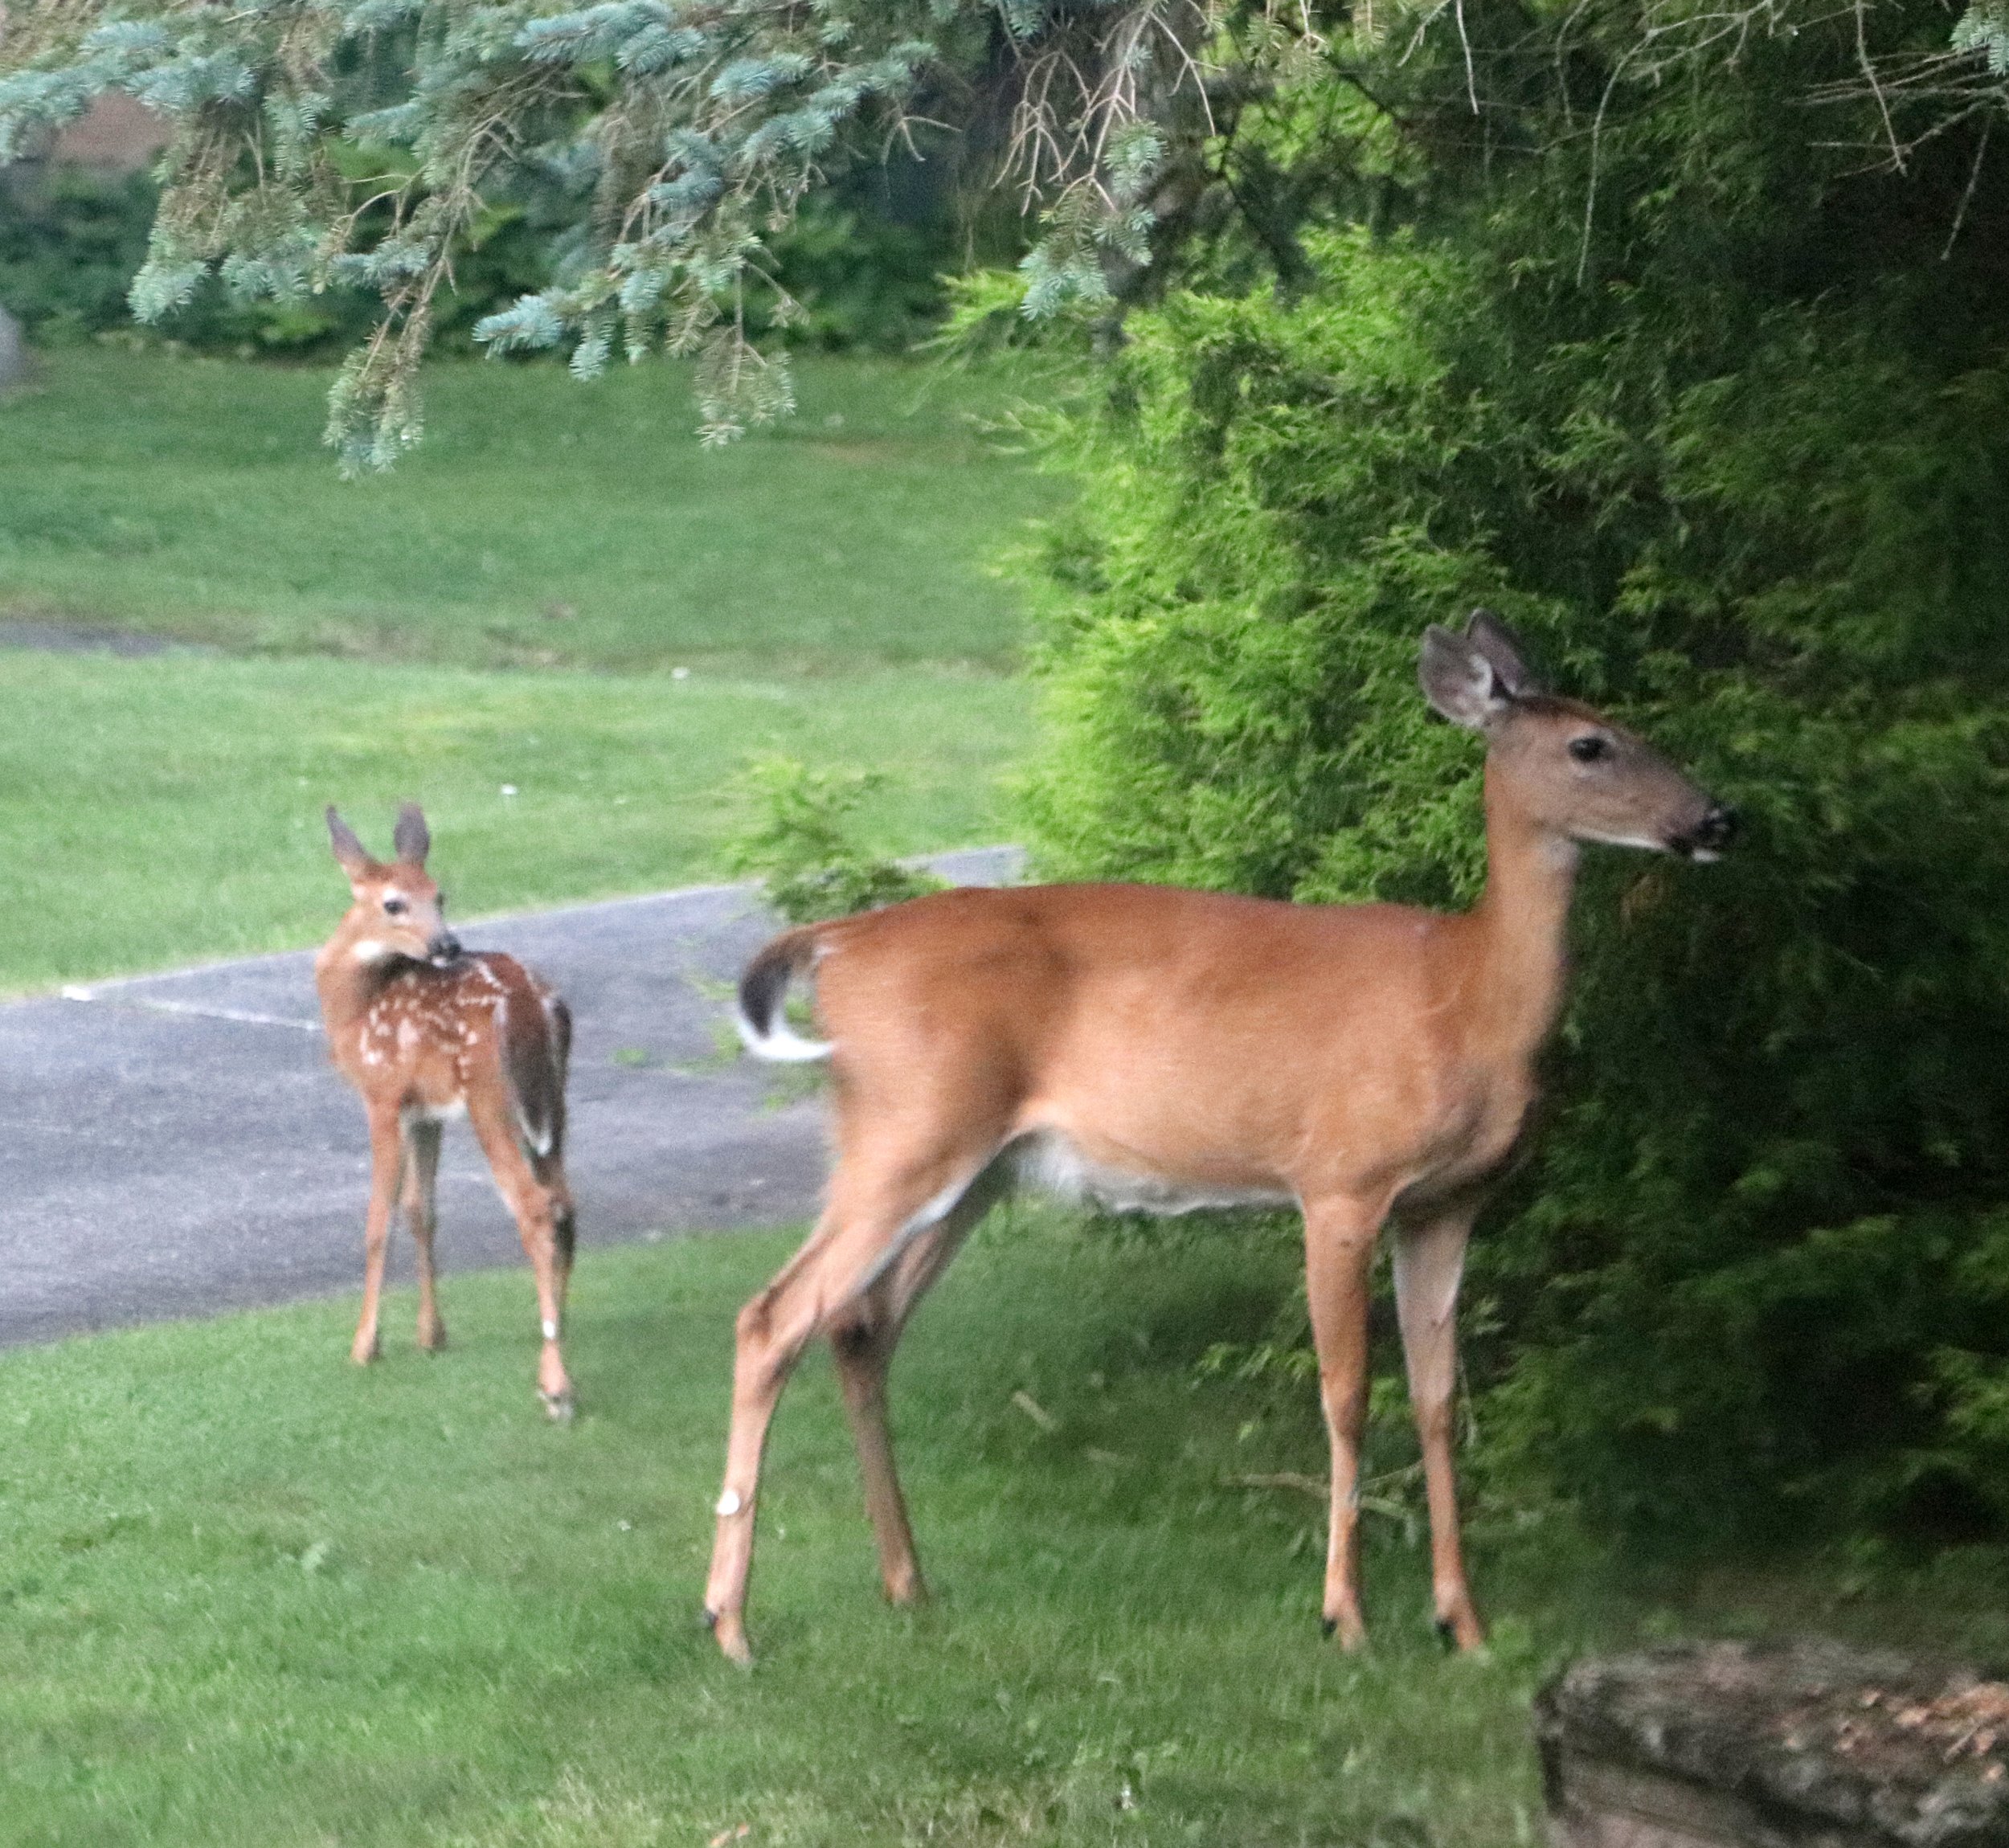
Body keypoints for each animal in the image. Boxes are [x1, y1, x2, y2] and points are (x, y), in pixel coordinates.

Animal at [316, 804, 580, 1418]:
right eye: (395, 902)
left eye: (440, 895)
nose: (448, 944)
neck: (355, 1009)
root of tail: (531, 1005)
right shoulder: (426, 1111)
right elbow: (422, 1210)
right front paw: (431, 1334)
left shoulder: (383, 1094)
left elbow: (378, 1219)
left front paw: (365, 1344)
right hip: (551, 1105)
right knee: (566, 1205)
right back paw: (557, 1331)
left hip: (490, 1100)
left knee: (535, 1208)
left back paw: (555, 1384)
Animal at [701, 612, 1735, 1665]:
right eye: (1590, 745)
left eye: (1634, 726)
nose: (1716, 819)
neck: (1467, 996)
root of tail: (831, 945)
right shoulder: (1340, 1178)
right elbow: (1346, 1392)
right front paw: (1345, 1615)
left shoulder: (1448, 1202)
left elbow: (1439, 1397)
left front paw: (1464, 1620)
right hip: (908, 1129)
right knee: (771, 1316)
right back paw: (730, 1623)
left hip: (977, 1164)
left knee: (859, 1325)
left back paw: (907, 1584)